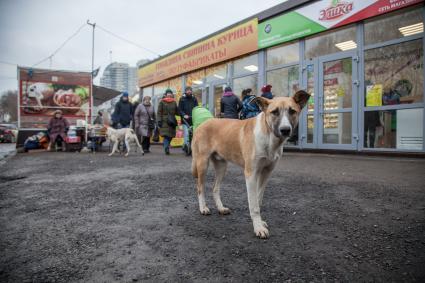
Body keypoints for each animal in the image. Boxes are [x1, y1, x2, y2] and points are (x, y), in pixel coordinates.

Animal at [191, 91, 308, 240]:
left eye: (292, 111)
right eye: (274, 112)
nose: (285, 130)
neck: (269, 137)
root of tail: (204, 122)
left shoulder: (266, 173)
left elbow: (258, 199)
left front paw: (260, 222)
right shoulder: (251, 174)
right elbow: (254, 204)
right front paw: (258, 228)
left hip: (222, 166)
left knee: (215, 188)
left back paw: (221, 208)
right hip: (202, 164)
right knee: (200, 187)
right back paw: (203, 208)